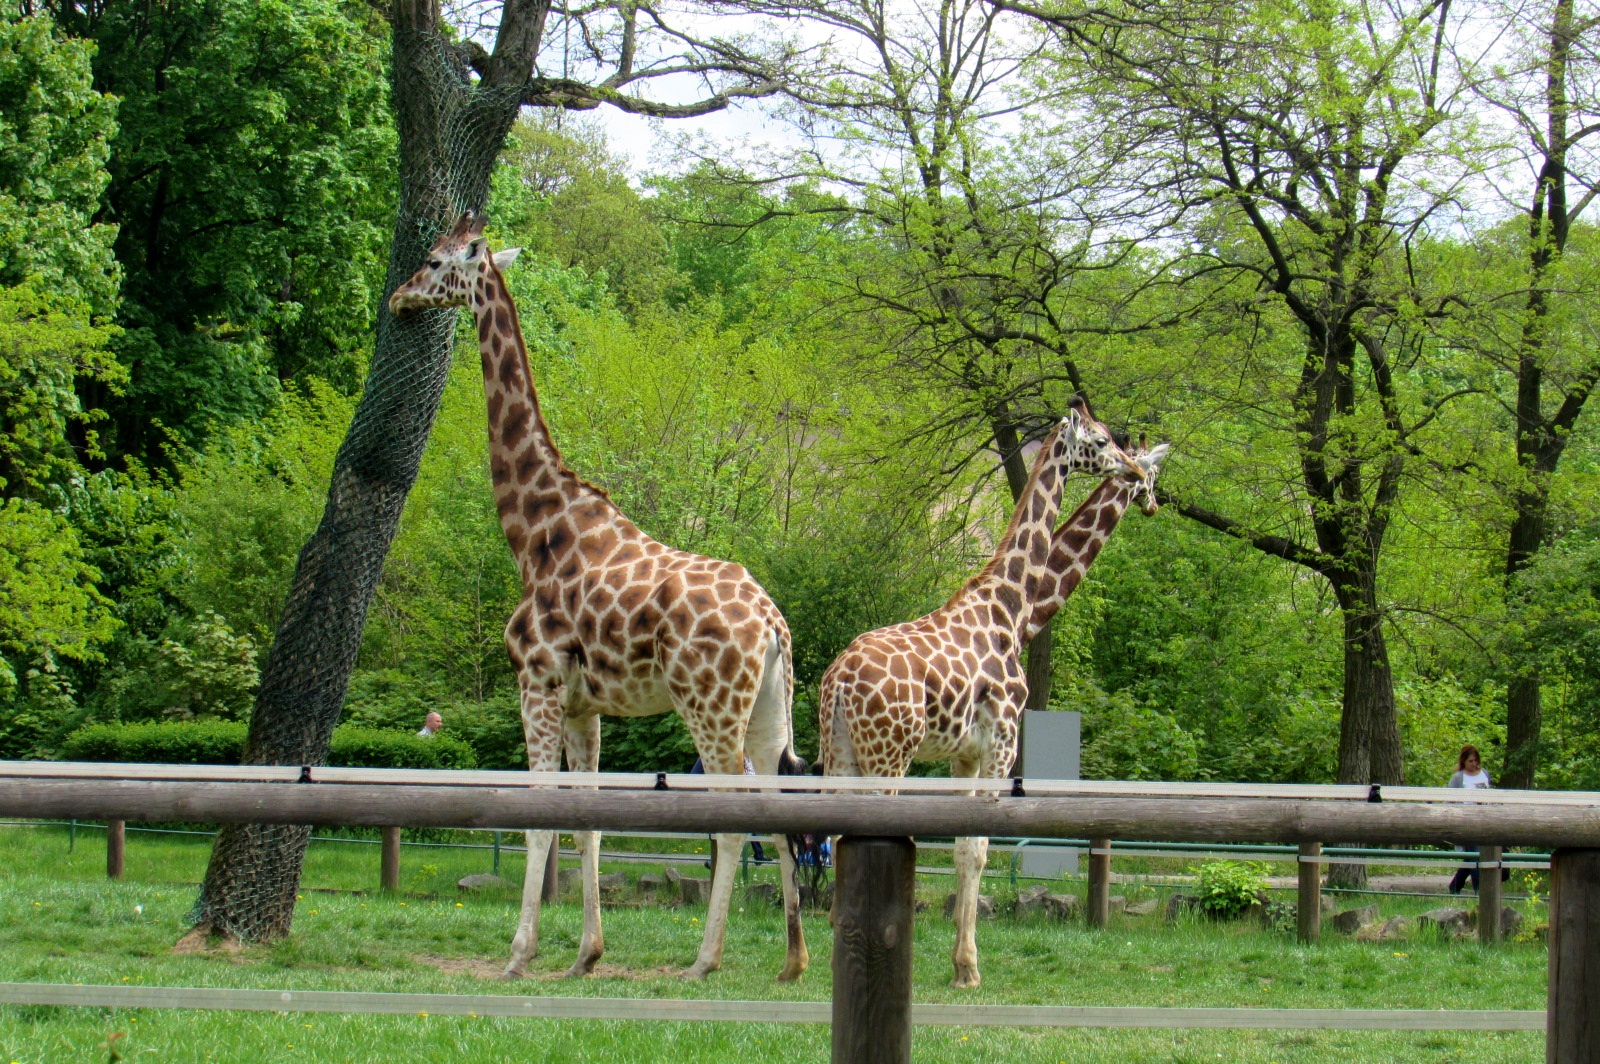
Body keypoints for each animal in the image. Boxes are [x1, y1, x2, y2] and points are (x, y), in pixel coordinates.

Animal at [388, 215, 808, 983]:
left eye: (433, 261)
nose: (400, 299)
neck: (535, 533)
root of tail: (773, 626)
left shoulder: (537, 681)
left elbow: (539, 818)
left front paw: (519, 954)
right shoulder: (586, 705)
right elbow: (587, 822)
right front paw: (586, 953)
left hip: (708, 706)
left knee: (734, 816)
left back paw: (704, 961)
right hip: (769, 709)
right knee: (776, 804)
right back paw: (792, 960)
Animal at [816, 400, 1144, 988]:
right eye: (1103, 440)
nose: (1133, 472)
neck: (1011, 607)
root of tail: (839, 681)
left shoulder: (963, 755)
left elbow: (963, 850)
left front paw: (959, 961)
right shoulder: (1002, 744)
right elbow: (979, 849)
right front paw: (968, 967)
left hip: (841, 753)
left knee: (833, 837)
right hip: (889, 756)